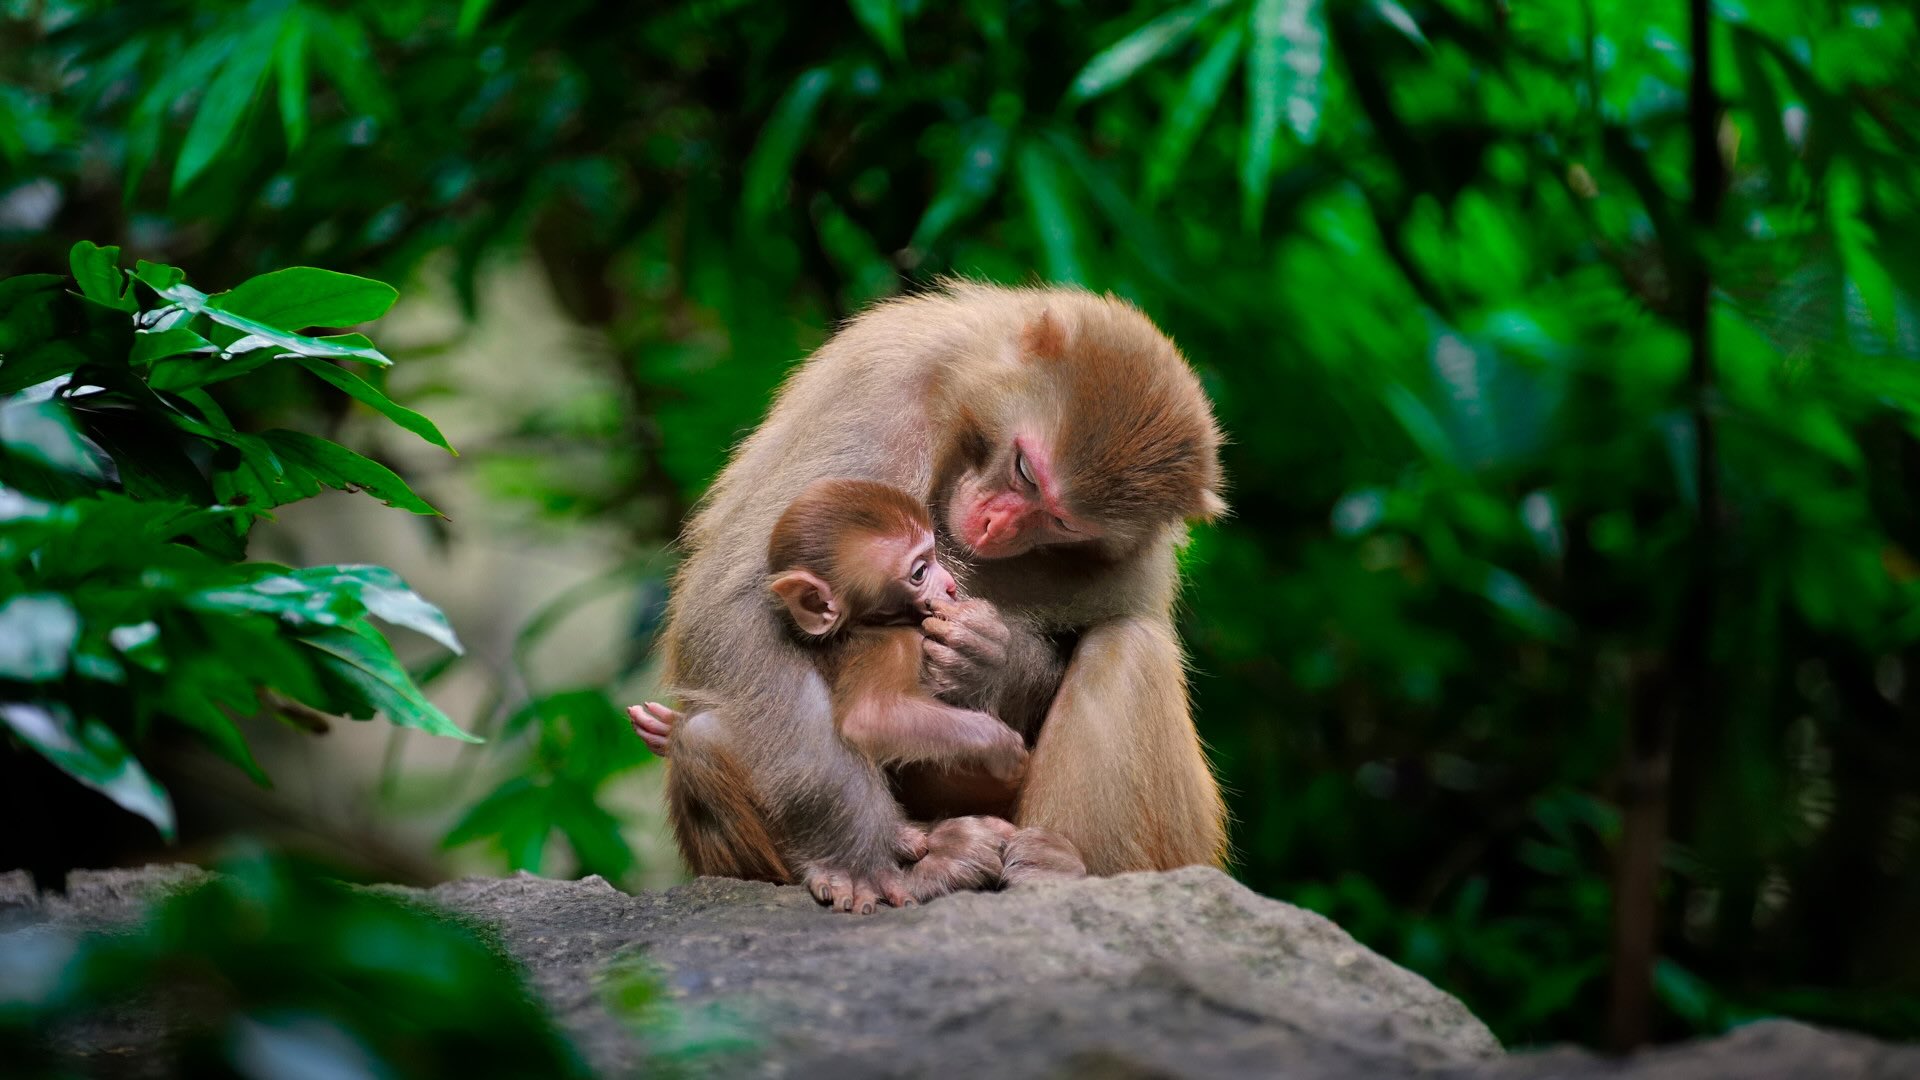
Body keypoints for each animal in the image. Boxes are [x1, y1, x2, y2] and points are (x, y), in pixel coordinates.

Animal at [648, 281, 1226, 912]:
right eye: (1025, 469)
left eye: (1062, 521)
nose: (995, 526)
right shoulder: (882, 389)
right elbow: (736, 608)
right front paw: (858, 850)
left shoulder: (1142, 559)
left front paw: (988, 659)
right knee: (704, 736)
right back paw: (941, 857)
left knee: (1127, 643)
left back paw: (1060, 867)